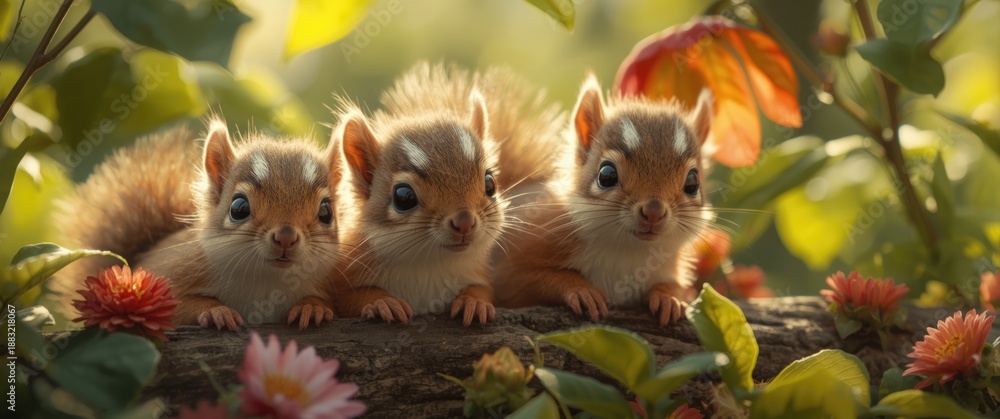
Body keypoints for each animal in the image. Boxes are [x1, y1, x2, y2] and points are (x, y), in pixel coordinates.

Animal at [54, 120, 343, 330]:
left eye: (326, 212)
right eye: (238, 208)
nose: (285, 237)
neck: (267, 280)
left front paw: (312, 307)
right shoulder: (171, 274)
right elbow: (178, 306)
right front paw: (215, 312)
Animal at [328, 62, 561, 326]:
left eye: (490, 183)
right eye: (403, 197)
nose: (465, 222)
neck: (428, 265)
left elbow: (483, 290)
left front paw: (474, 301)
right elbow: (351, 298)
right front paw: (381, 302)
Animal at [493, 75, 715, 327]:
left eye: (692, 182)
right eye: (606, 175)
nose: (654, 211)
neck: (627, 250)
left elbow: (673, 286)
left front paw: (669, 297)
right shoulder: (518, 255)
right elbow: (520, 280)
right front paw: (582, 290)